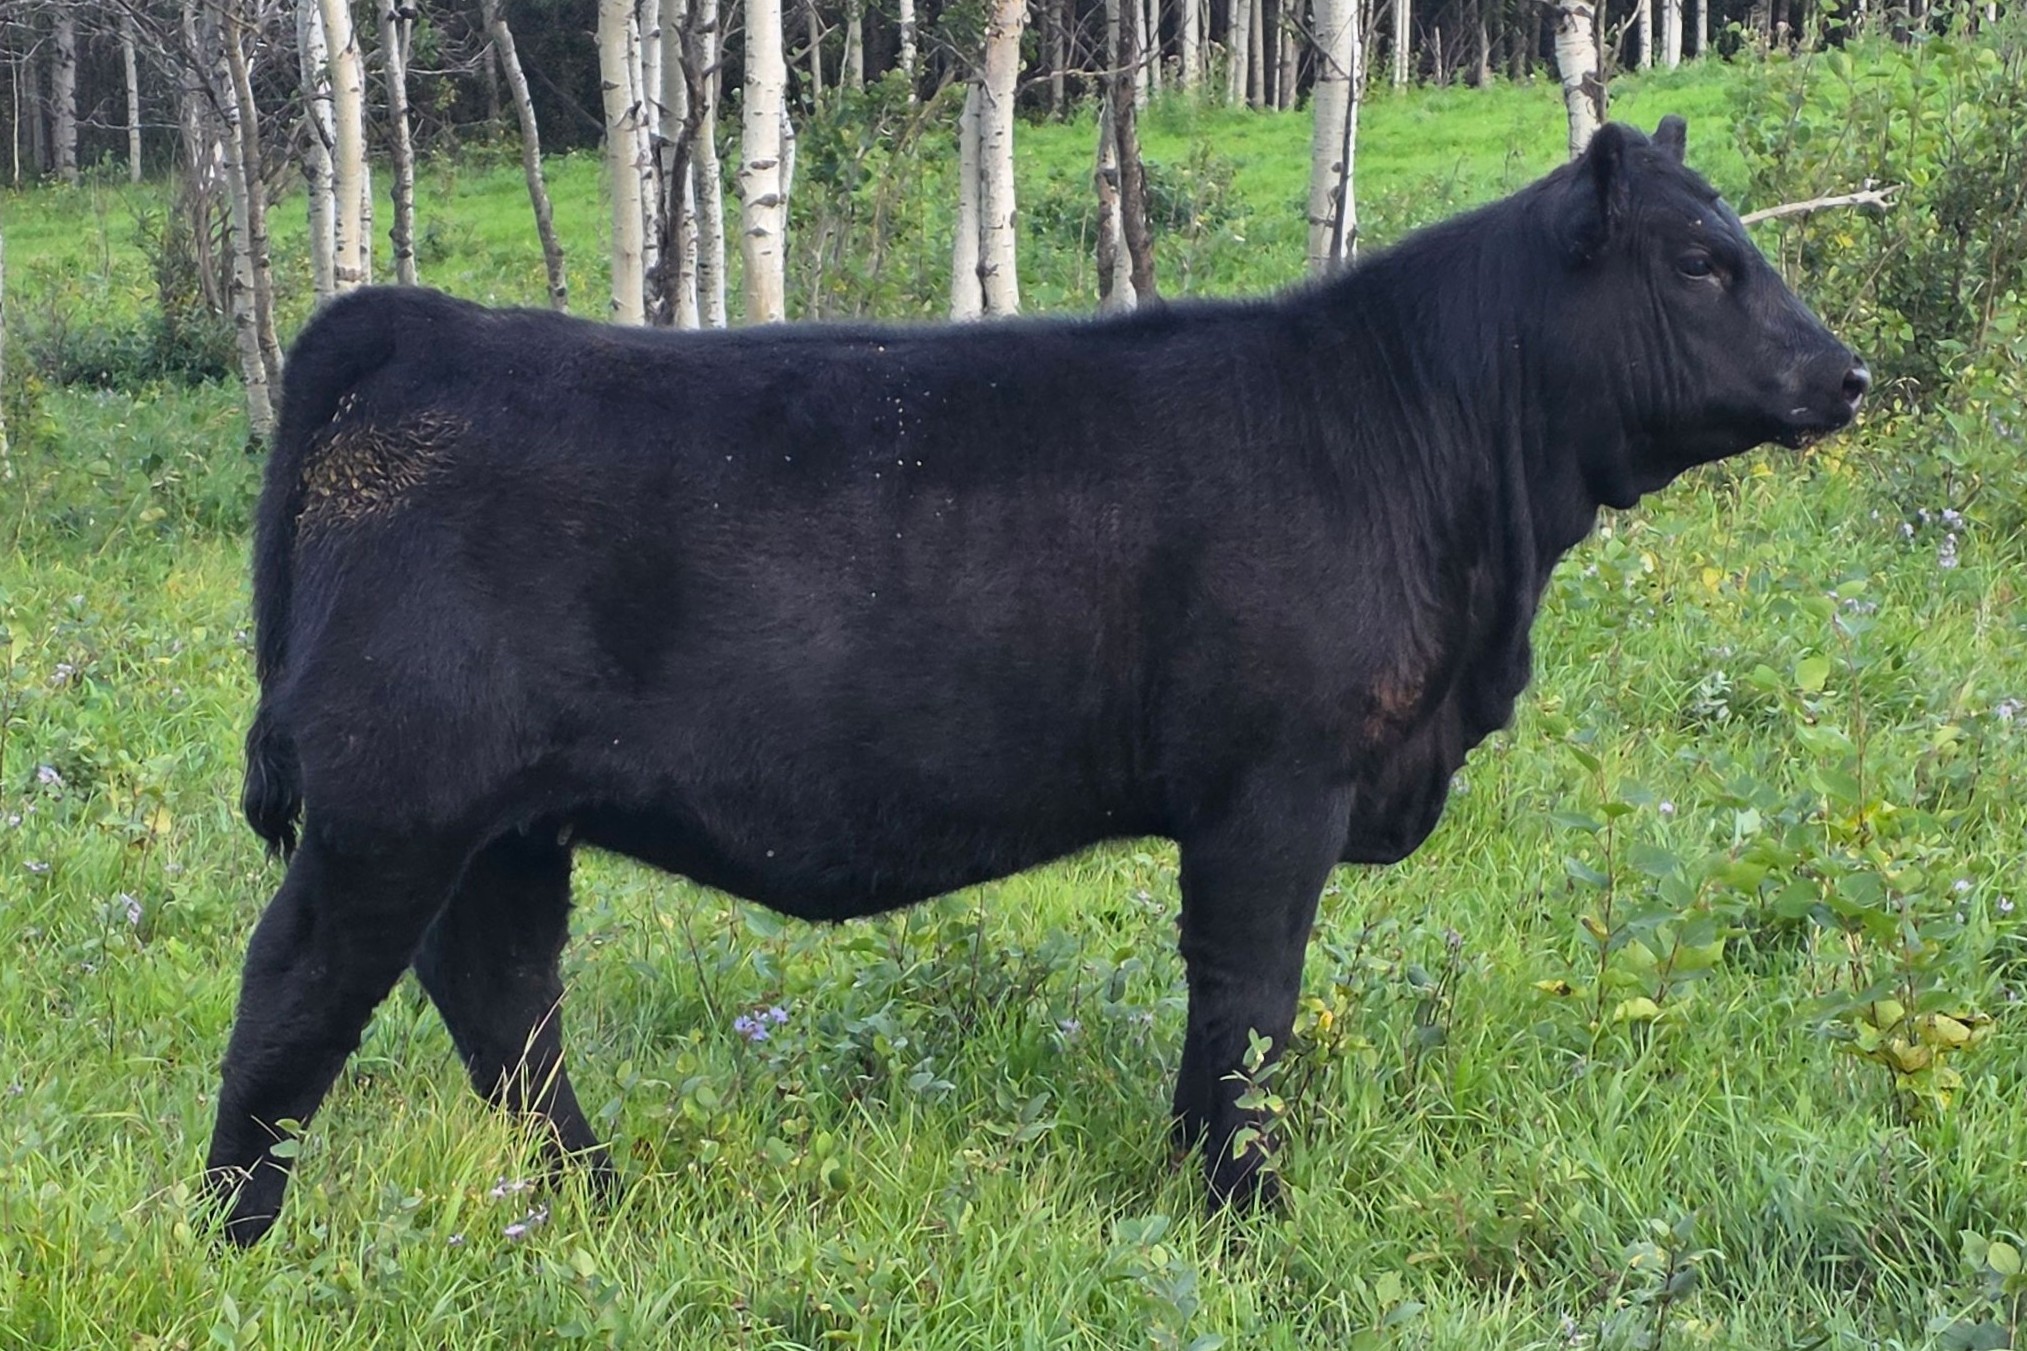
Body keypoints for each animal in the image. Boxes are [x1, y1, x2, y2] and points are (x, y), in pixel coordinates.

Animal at [205, 117, 1867, 1245]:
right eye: (1700, 260)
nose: (1842, 373)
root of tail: (415, 326)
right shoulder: (1274, 784)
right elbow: (1249, 999)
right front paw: (1243, 1206)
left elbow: (1222, 1009)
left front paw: (1198, 1181)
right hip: (395, 801)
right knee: (300, 989)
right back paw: (234, 1232)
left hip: (503, 822)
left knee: (502, 1001)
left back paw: (602, 1202)